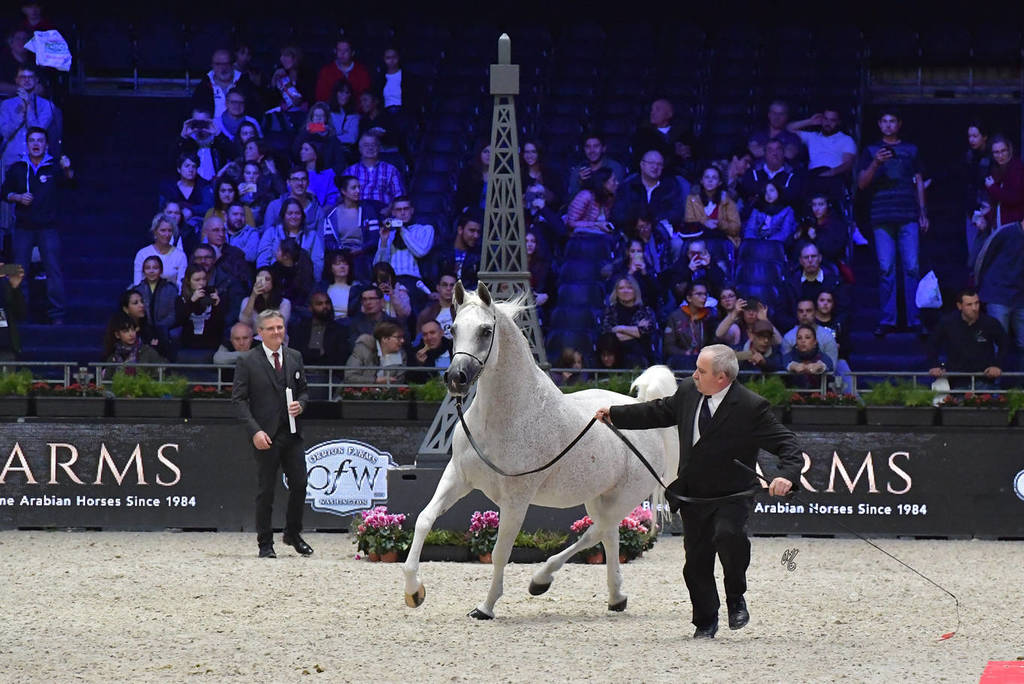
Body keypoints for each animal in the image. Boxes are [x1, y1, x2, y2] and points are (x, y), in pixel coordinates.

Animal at [402, 281, 678, 619]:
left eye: (485, 331)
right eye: (452, 329)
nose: (456, 378)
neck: (505, 417)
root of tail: (640, 409)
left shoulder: (516, 500)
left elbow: (499, 552)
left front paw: (485, 607)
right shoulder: (457, 478)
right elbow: (424, 519)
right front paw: (414, 592)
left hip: (622, 498)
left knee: (596, 532)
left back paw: (541, 580)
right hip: (599, 497)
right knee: (609, 537)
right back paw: (615, 598)